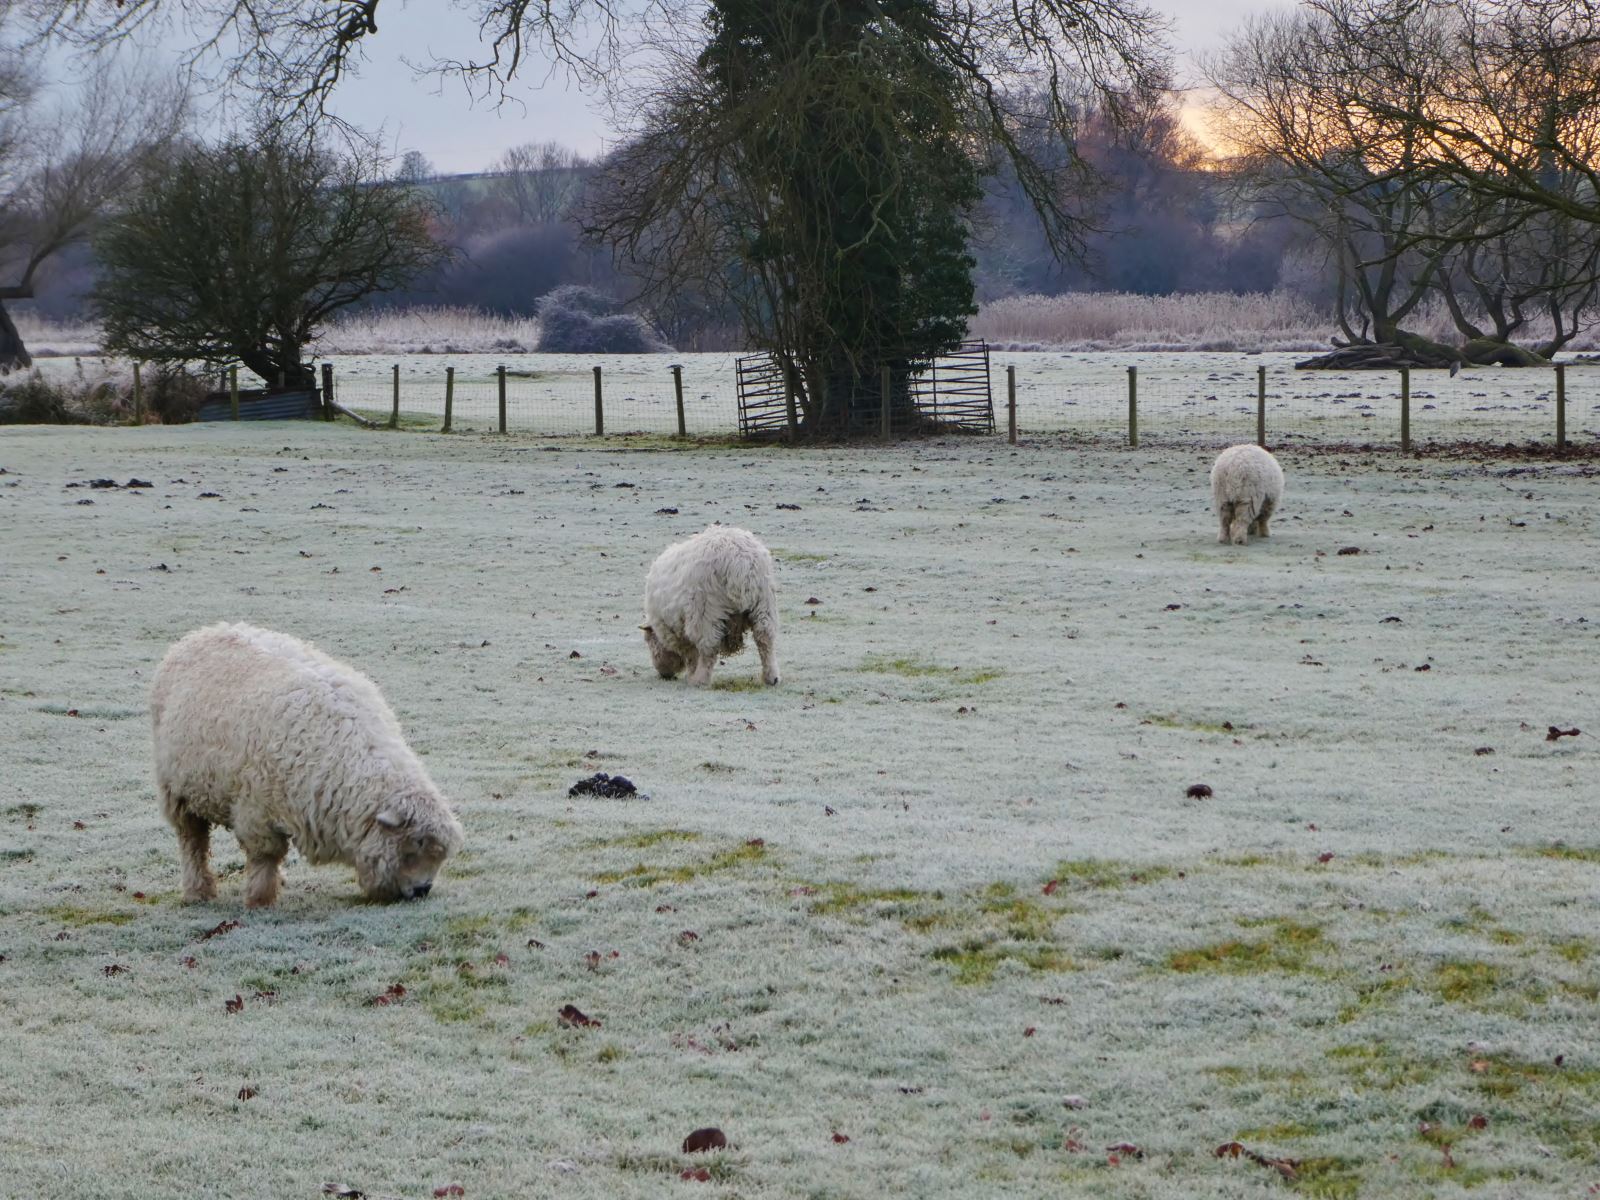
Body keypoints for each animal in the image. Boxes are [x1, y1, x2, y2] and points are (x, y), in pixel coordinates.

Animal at [150, 624, 467, 908]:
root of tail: (203, 632)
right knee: (192, 842)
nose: (423, 890)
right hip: (178, 791)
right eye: (413, 846)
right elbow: (265, 856)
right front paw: (260, 899)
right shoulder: (255, 809)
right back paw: (197, 891)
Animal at [643, 524, 780, 684]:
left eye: (649, 641)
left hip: (706, 610)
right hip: (764, 603)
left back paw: (700, 680)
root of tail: (740, 560)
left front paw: (691, 674)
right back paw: (771, 677)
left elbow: (691, 655)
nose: (664, 674)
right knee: (765, 637)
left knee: (709, 647)